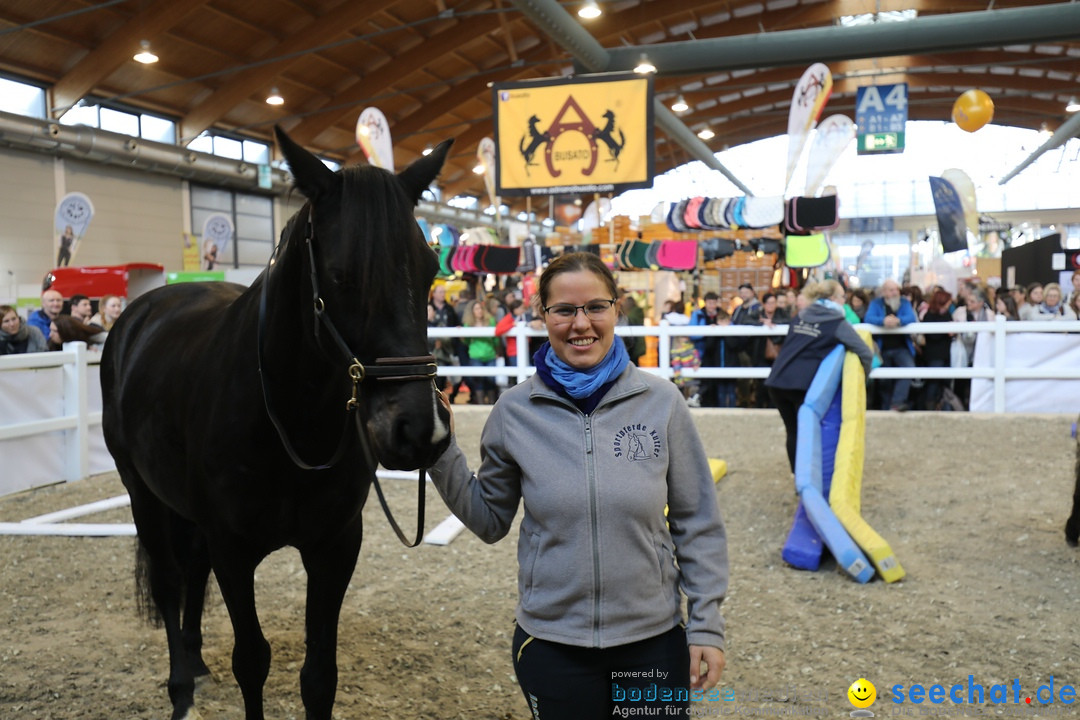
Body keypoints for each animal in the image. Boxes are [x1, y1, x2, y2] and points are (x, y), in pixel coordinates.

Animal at [100, 127, 451, 720]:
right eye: (342, 276)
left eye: (429, 270)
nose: (419, 431)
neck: (292, 421)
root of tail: (139, 313)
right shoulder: (234, 549)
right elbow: (252, 660)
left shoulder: (335, 545)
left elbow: (320, 676)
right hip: (140, 491)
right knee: (170, 580)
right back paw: (180, 687)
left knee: (192, 568)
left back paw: (195, 660)